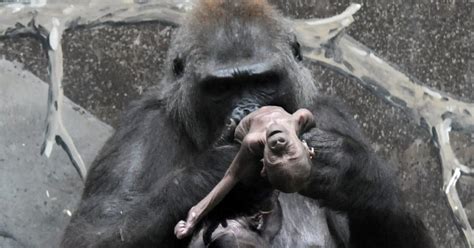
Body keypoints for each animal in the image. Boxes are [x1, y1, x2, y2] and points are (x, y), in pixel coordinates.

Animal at [174, 106, 314, 240]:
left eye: (289, 152)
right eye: (275, 156)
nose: (278, 142)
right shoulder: (251, 144)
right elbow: (230, 177)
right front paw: (191, 220)